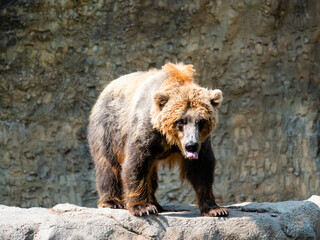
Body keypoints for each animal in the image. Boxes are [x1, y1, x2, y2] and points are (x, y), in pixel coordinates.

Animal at [87, 62, 228, 217]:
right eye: (180, 121)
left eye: (201, 121)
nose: (191, 145)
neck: (169, 138)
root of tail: (107, 87)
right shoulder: (145, 130)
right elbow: (136, 164)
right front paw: (142, 207)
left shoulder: (202, 142)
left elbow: (202, 168)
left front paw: (215, 209)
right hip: (108, 128)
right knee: (108, 164)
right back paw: (112, 201)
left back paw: (155, 203)